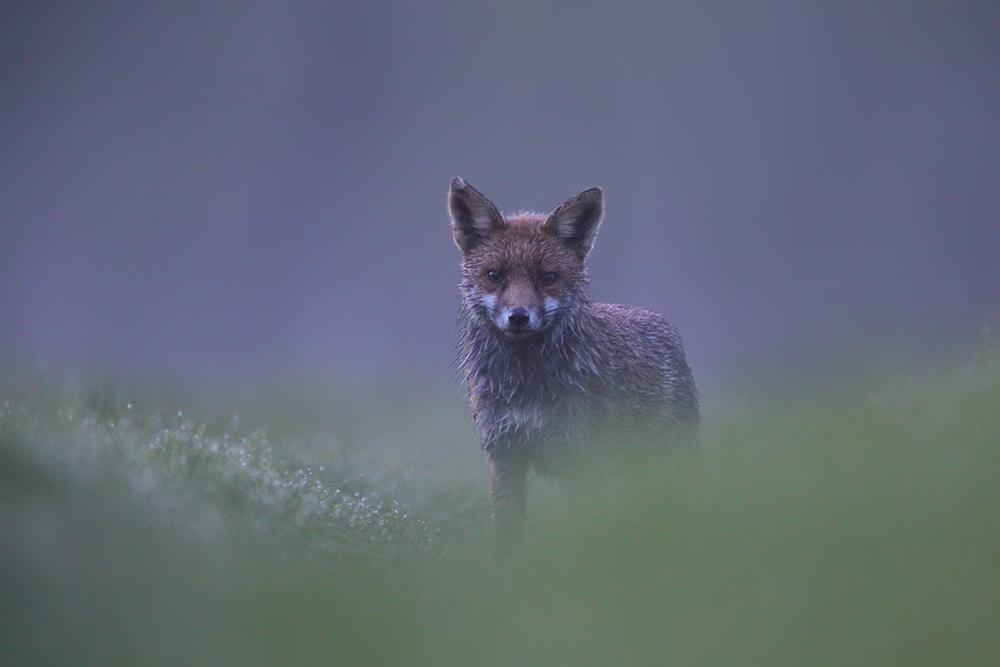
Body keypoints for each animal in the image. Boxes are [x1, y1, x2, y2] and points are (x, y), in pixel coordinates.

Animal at [450, 179, 700, 544]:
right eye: (495, 275)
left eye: (547, 277)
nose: (519, 317)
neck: (525, 383)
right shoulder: (505, 458)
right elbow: (507, 535)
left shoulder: (578, 460)